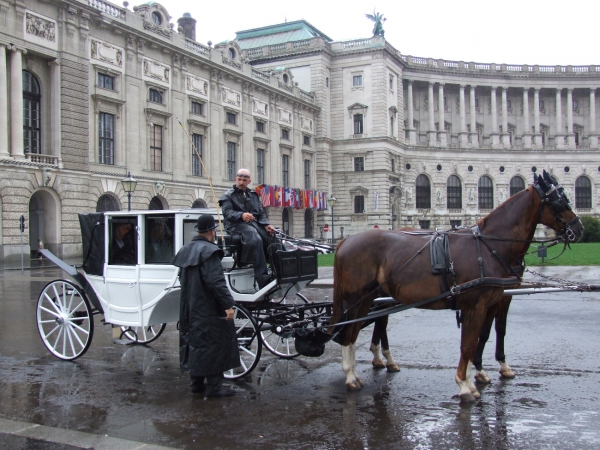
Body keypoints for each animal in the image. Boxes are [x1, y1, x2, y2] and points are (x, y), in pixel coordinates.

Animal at [328, 171, 580, 402]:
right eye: (559, 200)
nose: (579, 228)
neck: (488, 246)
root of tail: (345, 241)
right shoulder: (476, 305)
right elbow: (469, 344)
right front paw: (465, 384)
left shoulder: (491, 301)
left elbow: (479, 338)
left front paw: (474, 376)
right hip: (357, 298)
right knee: (349, 330)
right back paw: (351, 374)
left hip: (369, 299)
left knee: (356, 330)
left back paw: (360, 372)